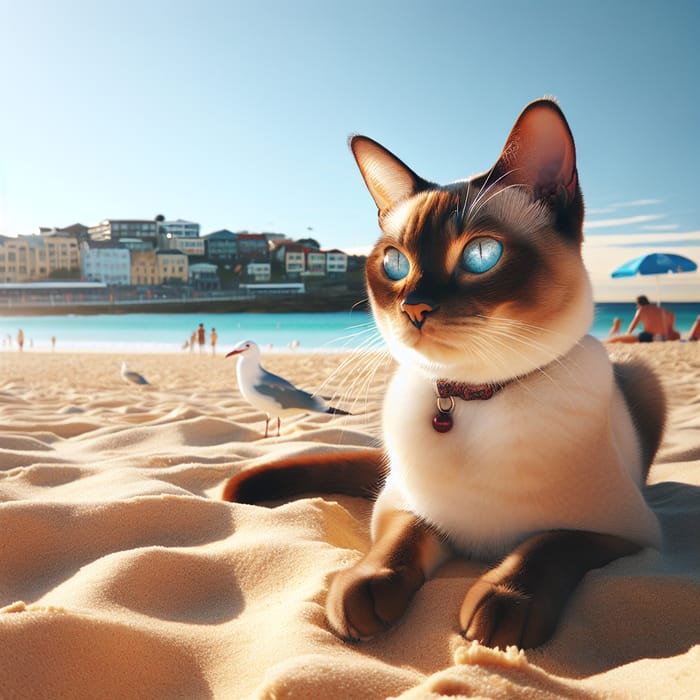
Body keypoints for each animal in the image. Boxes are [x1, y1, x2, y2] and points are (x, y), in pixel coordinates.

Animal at [221, 100, 664, 652]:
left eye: (481, 256)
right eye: (394, 263)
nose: (413, 307)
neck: (472, 397)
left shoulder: (625, 532)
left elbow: (548, 542)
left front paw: (504, 606)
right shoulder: (403, 505)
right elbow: (400, 543)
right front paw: (363, 594)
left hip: (645, 377)